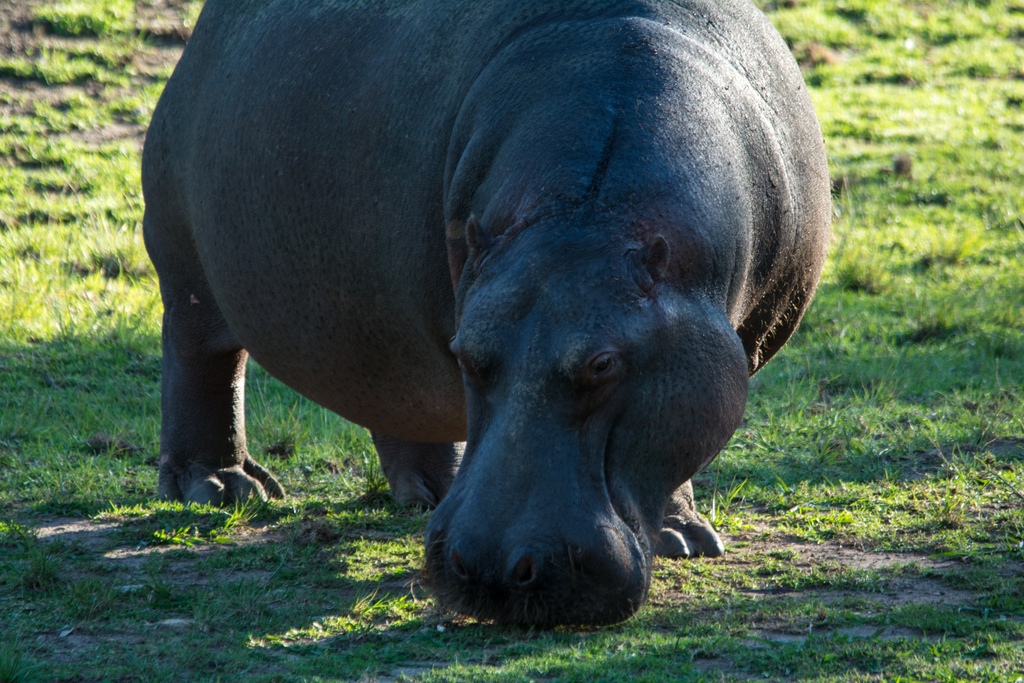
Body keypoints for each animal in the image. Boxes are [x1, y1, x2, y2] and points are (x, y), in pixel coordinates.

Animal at [142, 0, 830, 626]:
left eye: (603, 363)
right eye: (468, 356)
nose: (495, 570)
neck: (589, 211)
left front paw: (684, 539)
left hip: (378, 317)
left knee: (392, 390)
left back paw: (427, 493)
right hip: (184, 262)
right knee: (201, 360)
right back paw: (222, 489)